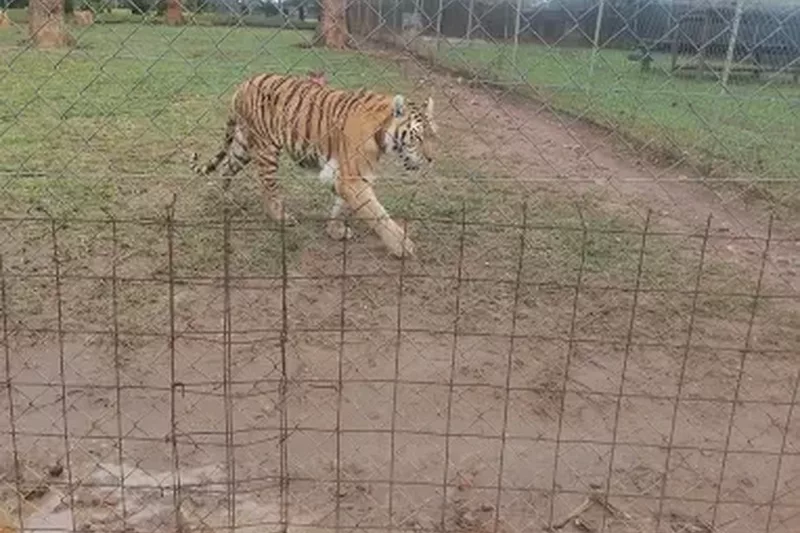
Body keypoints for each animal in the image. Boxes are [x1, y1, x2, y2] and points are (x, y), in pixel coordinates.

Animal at [190, 72, 437, 258]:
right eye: (417, 137)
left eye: (433, 135)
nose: (431, 159)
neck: (382, 134)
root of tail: (243, 84)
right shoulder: (353, 178)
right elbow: (378, 213)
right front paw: (402, 246)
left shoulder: (346, 175)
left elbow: (341, 204)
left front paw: (334, 230)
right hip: (266, 148)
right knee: (268, 187)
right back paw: (280, 217)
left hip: (243, 145)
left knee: (226, 167)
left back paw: (227, 200)